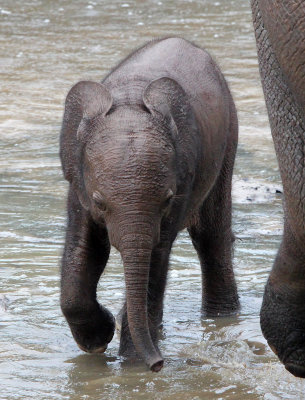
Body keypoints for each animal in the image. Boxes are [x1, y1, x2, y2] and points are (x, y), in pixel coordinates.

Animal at [59, 36, 239, 372]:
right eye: (99, 202)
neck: (129, 100)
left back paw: (221, 318)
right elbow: (85, 248)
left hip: (228, 138)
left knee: (211, 236)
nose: (158, 365)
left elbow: (156, 255)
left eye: (167, 199)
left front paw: (131, 365)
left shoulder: (183, 176)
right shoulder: (78, 179)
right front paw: (99, 340)